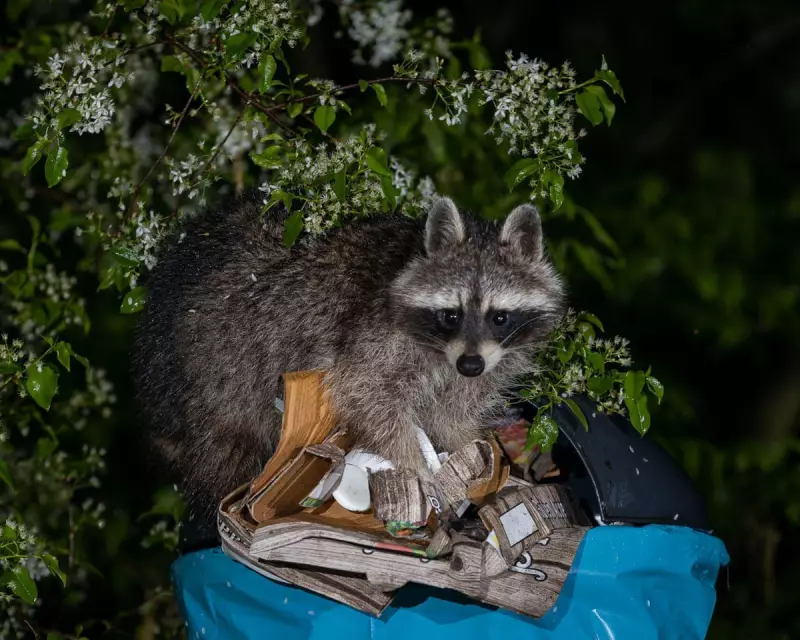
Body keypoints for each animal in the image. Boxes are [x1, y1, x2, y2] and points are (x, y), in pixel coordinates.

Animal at [130, 193, 566, 527]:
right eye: (451, 315)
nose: (470, 365)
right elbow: (364, 395)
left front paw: (481, 454)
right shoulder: (374, 337)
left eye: (499, 316)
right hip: (213, 375)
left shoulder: (489, 360)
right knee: (223, 456)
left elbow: (450, 414)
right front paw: (416, 466)